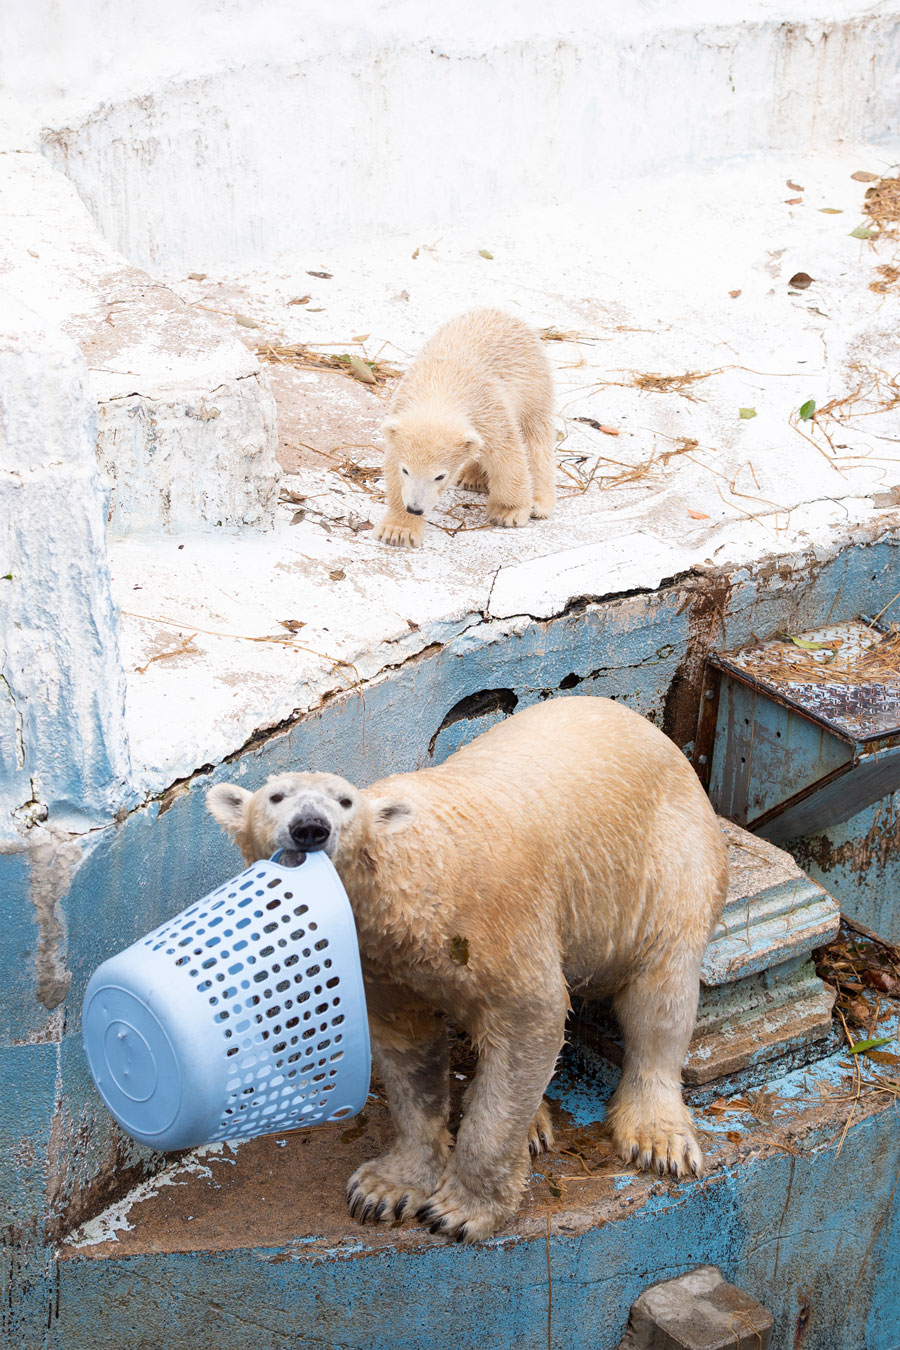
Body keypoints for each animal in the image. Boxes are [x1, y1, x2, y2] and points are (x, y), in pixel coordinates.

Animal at [209, 702, 734, 1236]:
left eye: (344, 801)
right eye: (276, 795)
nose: (310, 827)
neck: (421, 883)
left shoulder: (498, 926)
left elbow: (532, 1023)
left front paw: (460, 1210)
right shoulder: (383, 964)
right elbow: (410, 1056)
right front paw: (383, 1189)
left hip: (667, 862)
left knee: (661, 992)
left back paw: (656, 1137)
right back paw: (535, 1124)